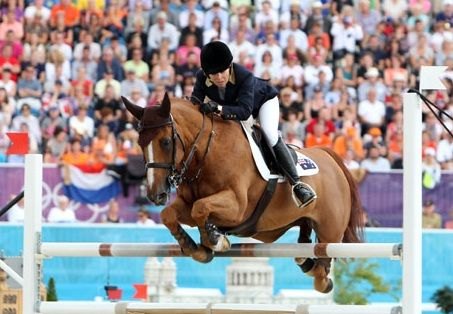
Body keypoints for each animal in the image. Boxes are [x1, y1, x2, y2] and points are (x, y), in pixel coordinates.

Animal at [122, 92, 362, 292]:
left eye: (165, 141)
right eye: (139, 143)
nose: (156, 195)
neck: (206, 154)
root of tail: (329, 157)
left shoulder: (236, 207)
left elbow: (201, 207)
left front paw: (215, 240)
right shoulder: (186, 204)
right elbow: (169, 215)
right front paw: (195, 247)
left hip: (330, 232)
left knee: (323, 266)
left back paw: (321, 276)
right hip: (302, 221)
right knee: (305, 243)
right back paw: (306, 262)